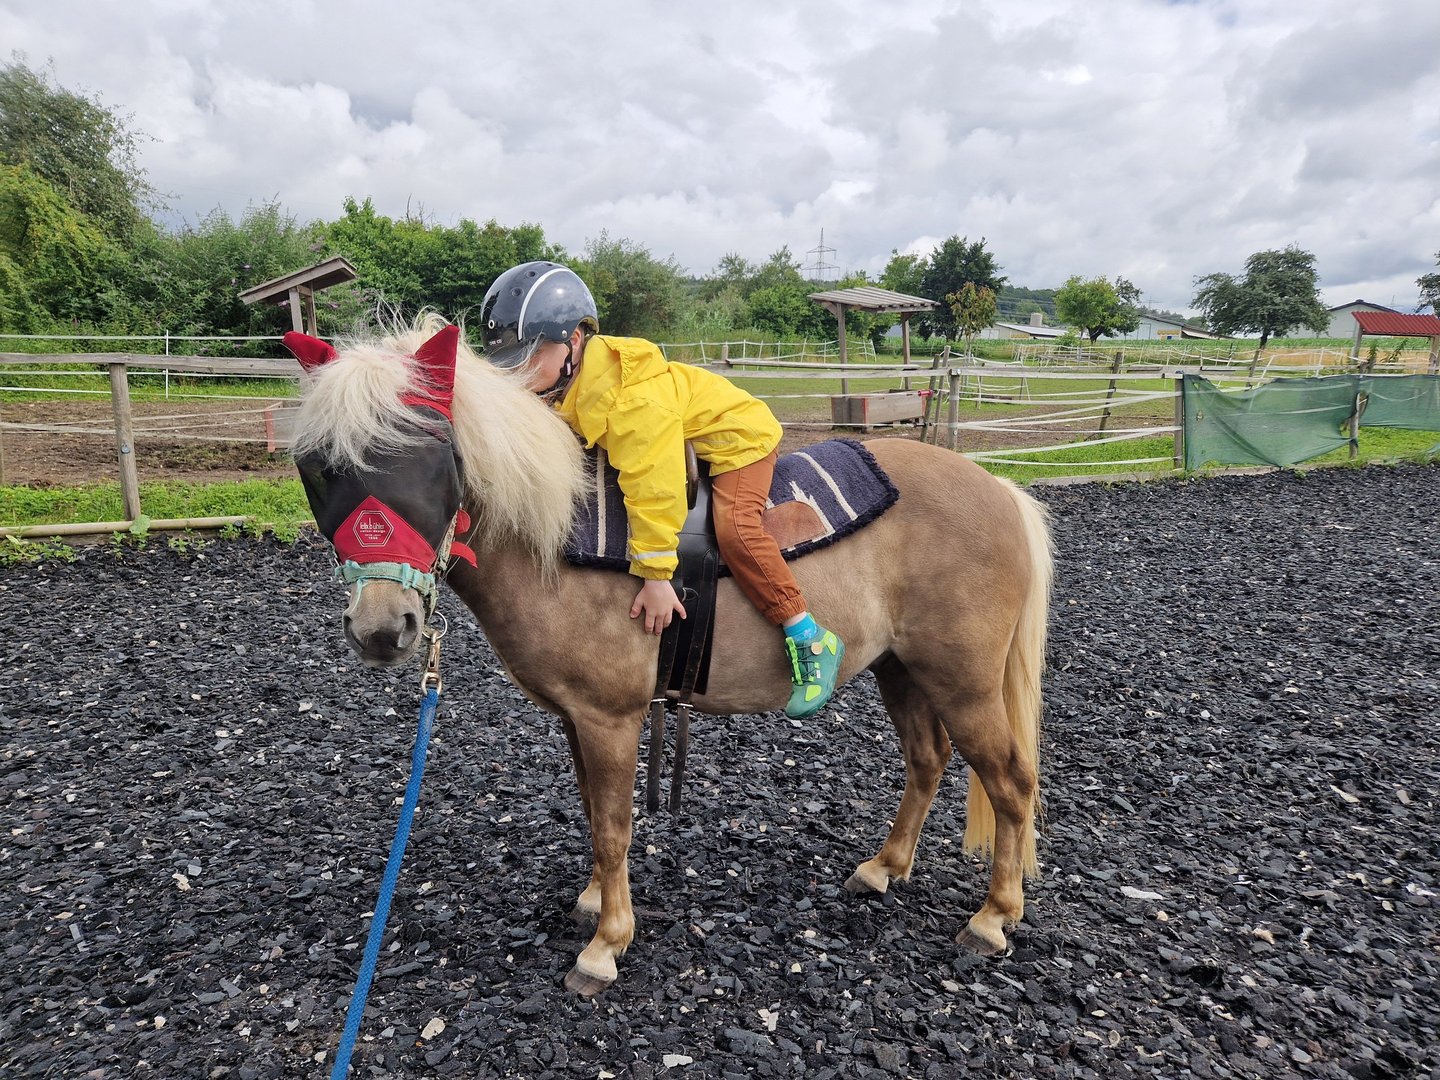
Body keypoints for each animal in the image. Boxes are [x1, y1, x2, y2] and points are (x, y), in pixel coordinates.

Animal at [283, 315, 1053, 996]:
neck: (558, 540)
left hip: (963, 681)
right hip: (904, 670)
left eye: (432, 458)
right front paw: (596, 901)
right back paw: (884, 868)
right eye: (318, 469)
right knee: (928, 761)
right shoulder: (577, 719)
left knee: (1011, 782)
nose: (383, 627)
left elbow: (615, 827)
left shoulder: (612, 718)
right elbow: (594, 812)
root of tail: (999, 489)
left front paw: (606, 945)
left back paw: (993, 917)